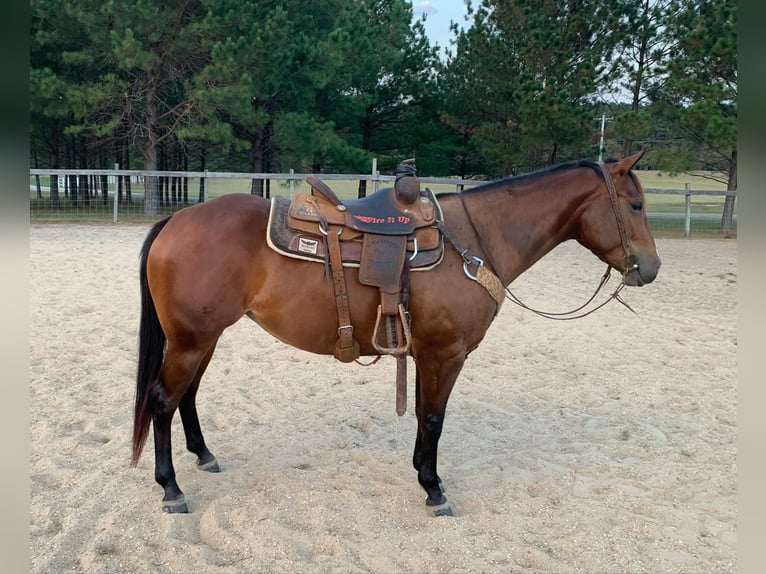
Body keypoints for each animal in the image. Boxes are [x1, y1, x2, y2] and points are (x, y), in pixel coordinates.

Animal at [130, 152, 660, 516]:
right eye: (635, 204)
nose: (651, 268)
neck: (473, 241)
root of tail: (174, 220)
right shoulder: (447, 353)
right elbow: (434, 418)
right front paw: (434, 488)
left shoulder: (427, 352)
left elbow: (425, 415)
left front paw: (422, 474)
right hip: (192, 340)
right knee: (162, 400)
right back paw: (171, 488)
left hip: (205, 338)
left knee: (187, 396)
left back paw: (204, 455)